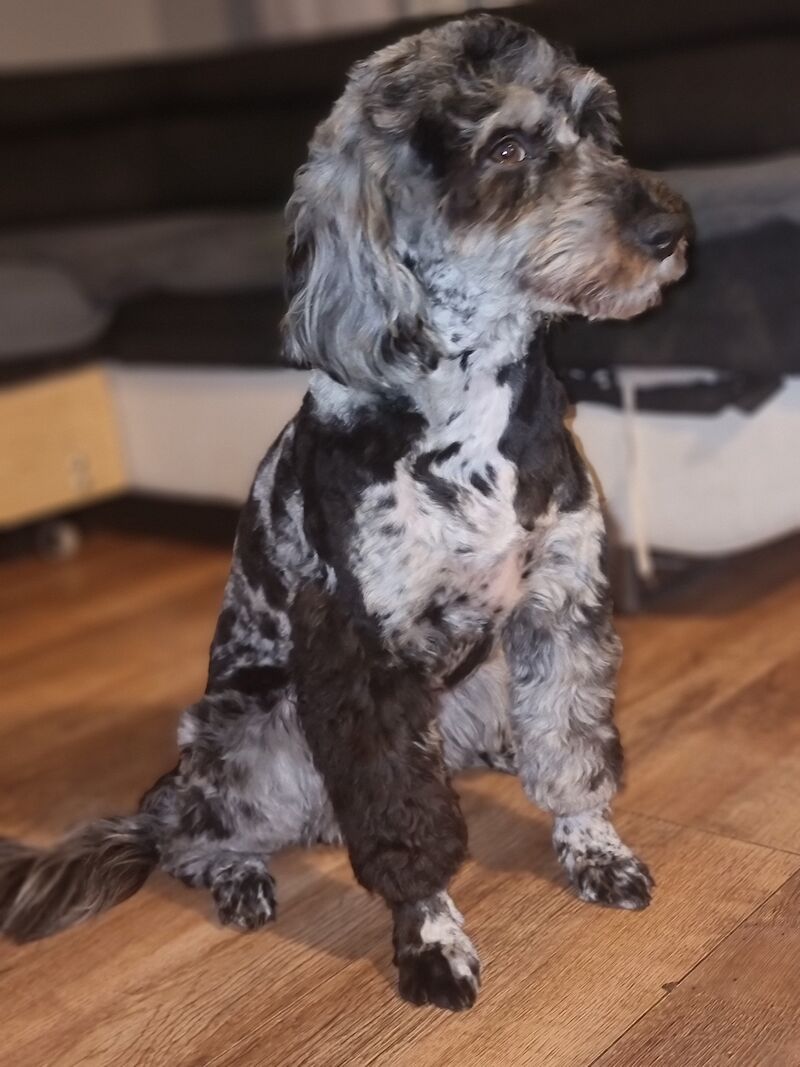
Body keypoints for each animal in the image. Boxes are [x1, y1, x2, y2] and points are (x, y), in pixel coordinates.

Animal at [0, 18, 691, 1015]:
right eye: (507, 149)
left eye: (599, 126)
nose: (669, 230)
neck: (468, 415)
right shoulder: (363, 659)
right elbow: (405, 826)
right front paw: (431, 938)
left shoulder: (562, 605)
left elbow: (572, 749)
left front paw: (592, 846)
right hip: (247, 729)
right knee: (189, 836)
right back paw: (238, 875)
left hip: (474, 680)